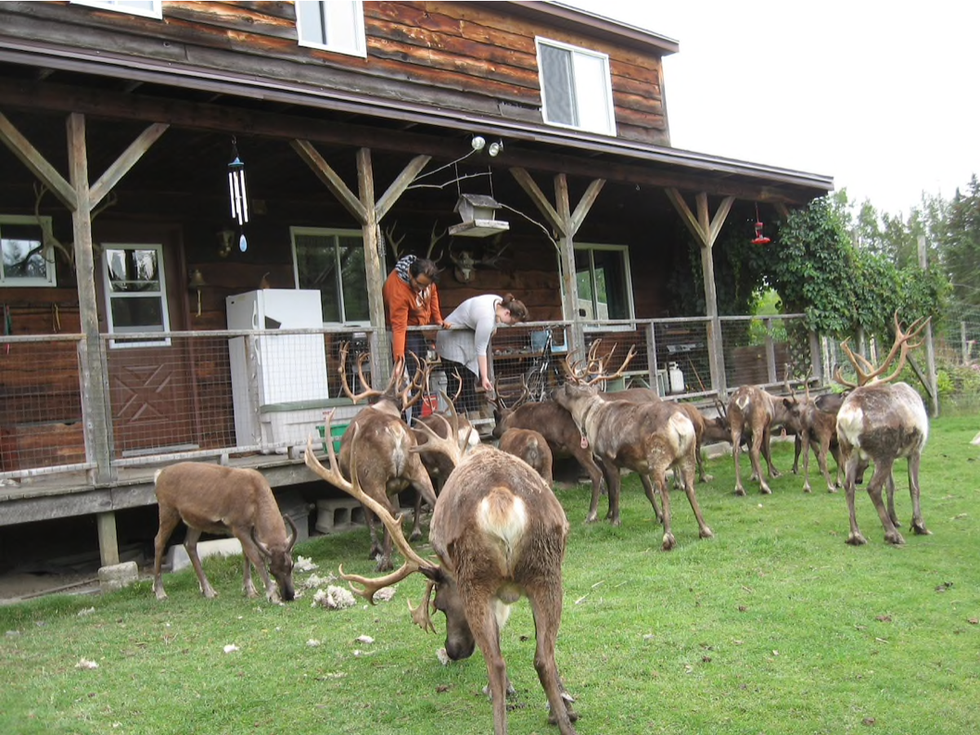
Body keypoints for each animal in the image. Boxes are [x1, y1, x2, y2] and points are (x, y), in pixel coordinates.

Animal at [152, 462, 298, 603]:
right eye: (270, 569)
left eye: (291, 565)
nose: (289, 595)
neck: (256, 499)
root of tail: (158, 475)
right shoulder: (238, 526)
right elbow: (255, 557)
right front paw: (272, 594)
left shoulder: (249, 530)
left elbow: (246, 555)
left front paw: (249, 590)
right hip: (168, 510)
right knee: (159, 541)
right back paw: (159, 591)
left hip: (195, 521)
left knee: (189, 544)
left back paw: (208, 590)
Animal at [305, 409, 580, 735]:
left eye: (440, 605)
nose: (452, 650)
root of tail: (500, 499)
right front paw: (564, 704)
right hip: (546, 570)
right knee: (543, 657)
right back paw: (565, 722)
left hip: (477, 577)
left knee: (497, 662)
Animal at [334, 345, 438, 570]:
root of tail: (396, 432)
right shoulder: (392, 487)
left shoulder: (357, 485)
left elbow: (369, 518)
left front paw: (375, 549)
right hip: (417, 468)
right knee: (435, 501)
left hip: (372, 477)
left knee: (390, 513)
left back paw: (386, 561)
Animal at [552, 345, 714, 550]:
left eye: (564, 386)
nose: (552, 392)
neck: (590, 418)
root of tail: (679, 422)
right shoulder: (638, 464)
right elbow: (647, 491)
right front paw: (658, 516)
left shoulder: (608, 458)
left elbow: (615, 491)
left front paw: (614, 520)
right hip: (687, 455)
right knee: (690, 487)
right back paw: (705, 530)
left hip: (658, 457)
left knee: (665, 490)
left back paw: (668, 537)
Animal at [834, 313, 932, 545]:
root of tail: (849, 414)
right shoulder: (915, 450)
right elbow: (914, 487)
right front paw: (919, 525)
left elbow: (892, 486)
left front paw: (896, 518)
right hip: (882, 451)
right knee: (872, 487)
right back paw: (892, 535)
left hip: (848, 450)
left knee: (849, 486)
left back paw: (856, 535)